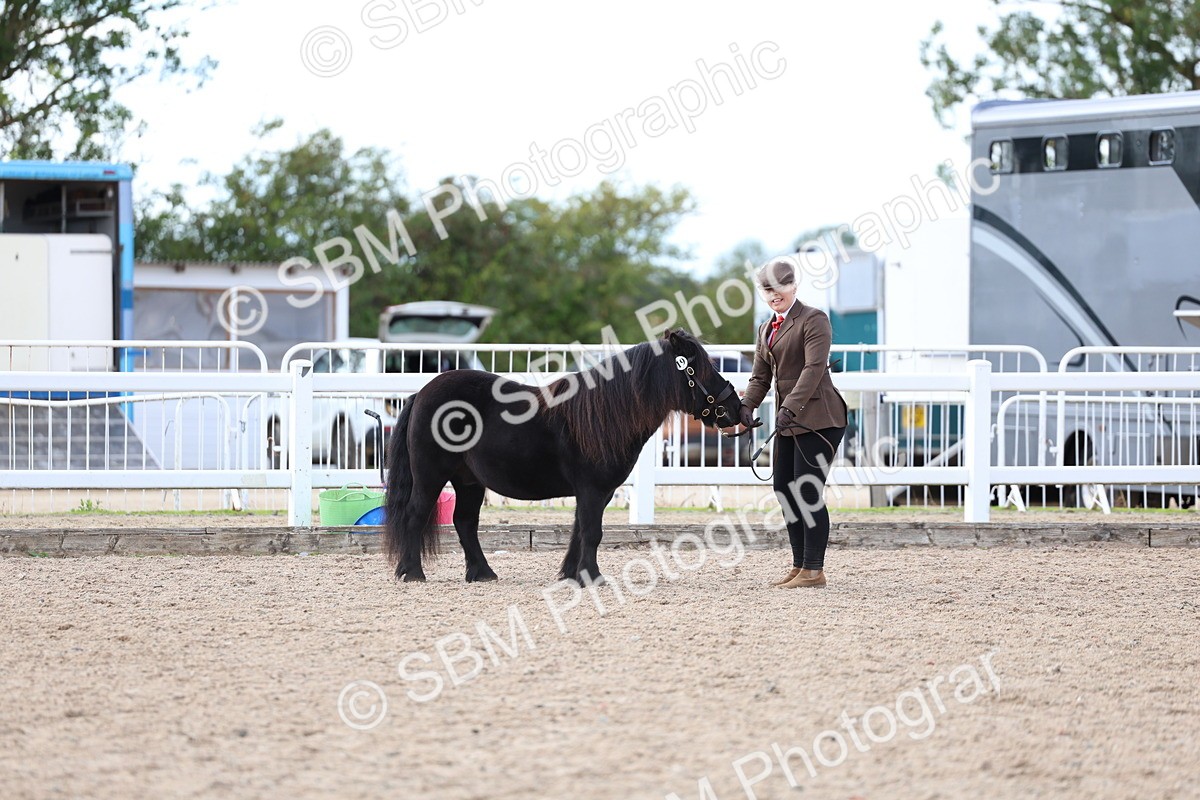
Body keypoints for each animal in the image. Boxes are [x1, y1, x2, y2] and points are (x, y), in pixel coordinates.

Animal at [383, 329, 745, 584]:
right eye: (700, 368)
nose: (736, 408)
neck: (606, 414)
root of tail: (421, 393)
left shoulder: (596, 493)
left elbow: (580, 530)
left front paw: (574, 574)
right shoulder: (592, 489)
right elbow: (592, 531)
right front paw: (593, 577)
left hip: (469, 481)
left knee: (465, 522)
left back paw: (482, 573)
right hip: (430, 475)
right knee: (415, 515)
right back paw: (412, 573)